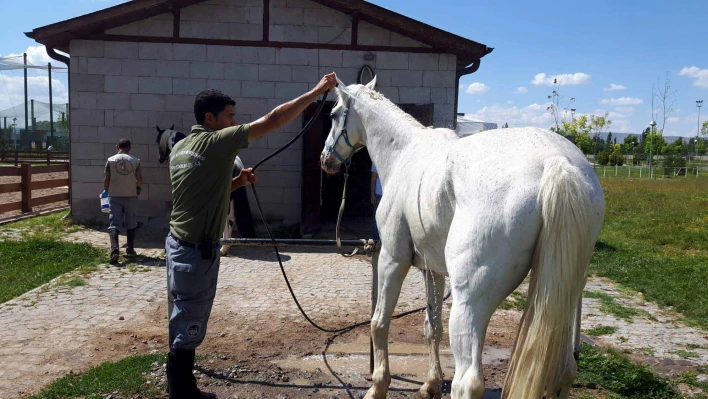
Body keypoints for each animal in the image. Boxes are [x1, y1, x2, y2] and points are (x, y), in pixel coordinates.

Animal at [320, 79, 604, 399]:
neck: (405, 153)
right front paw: (431, 383)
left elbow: (379, 322)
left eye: (333, 114)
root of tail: (556, 163)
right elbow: (432, 327)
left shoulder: (392, 259)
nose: (326, 159)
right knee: (566, 368)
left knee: (467, 381)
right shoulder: (432, 270)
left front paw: (377, 386)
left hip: (469, 303)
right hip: (565, 295)